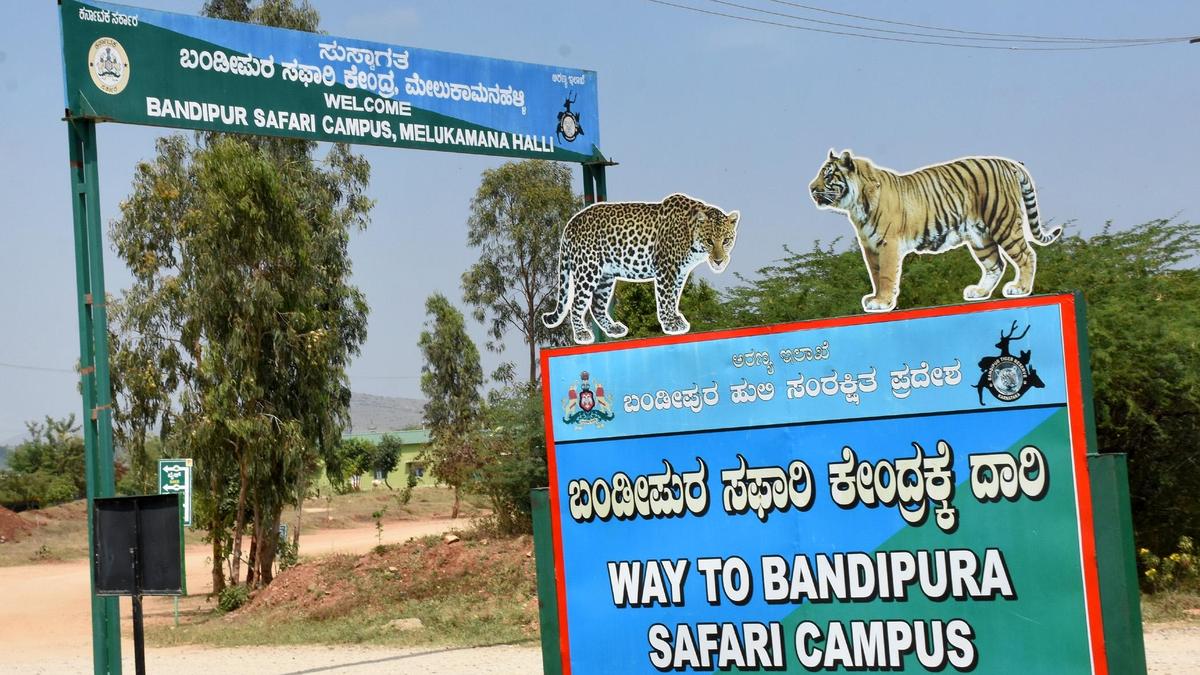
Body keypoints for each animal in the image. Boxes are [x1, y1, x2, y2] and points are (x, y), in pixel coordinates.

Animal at [541, 193, 741, 344]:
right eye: (709, 241)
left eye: (726, 241)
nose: (719, 261)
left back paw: (613, 328)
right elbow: (666, 297)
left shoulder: (680, 272)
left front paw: (676, 319)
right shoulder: (666, 268)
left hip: (606, 276)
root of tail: (571, 223)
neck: (689, 234)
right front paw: (670, 324)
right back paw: (582, 334)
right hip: (588, 269)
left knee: (596, 305)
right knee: (576, 303)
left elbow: (674, 297)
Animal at [809, 150, 1060, 312]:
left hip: (1003, 222)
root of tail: (1009, 164)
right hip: (980, 236)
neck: (856, 204)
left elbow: (887, 275)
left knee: (1026, 255)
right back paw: (979, 292)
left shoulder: (887, 244)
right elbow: (876, 275)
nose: (811, 188)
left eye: (828, 175)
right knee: (995, 264)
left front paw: (882, 303)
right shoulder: (870, 247)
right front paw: (876, 298)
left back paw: (1021, 288)